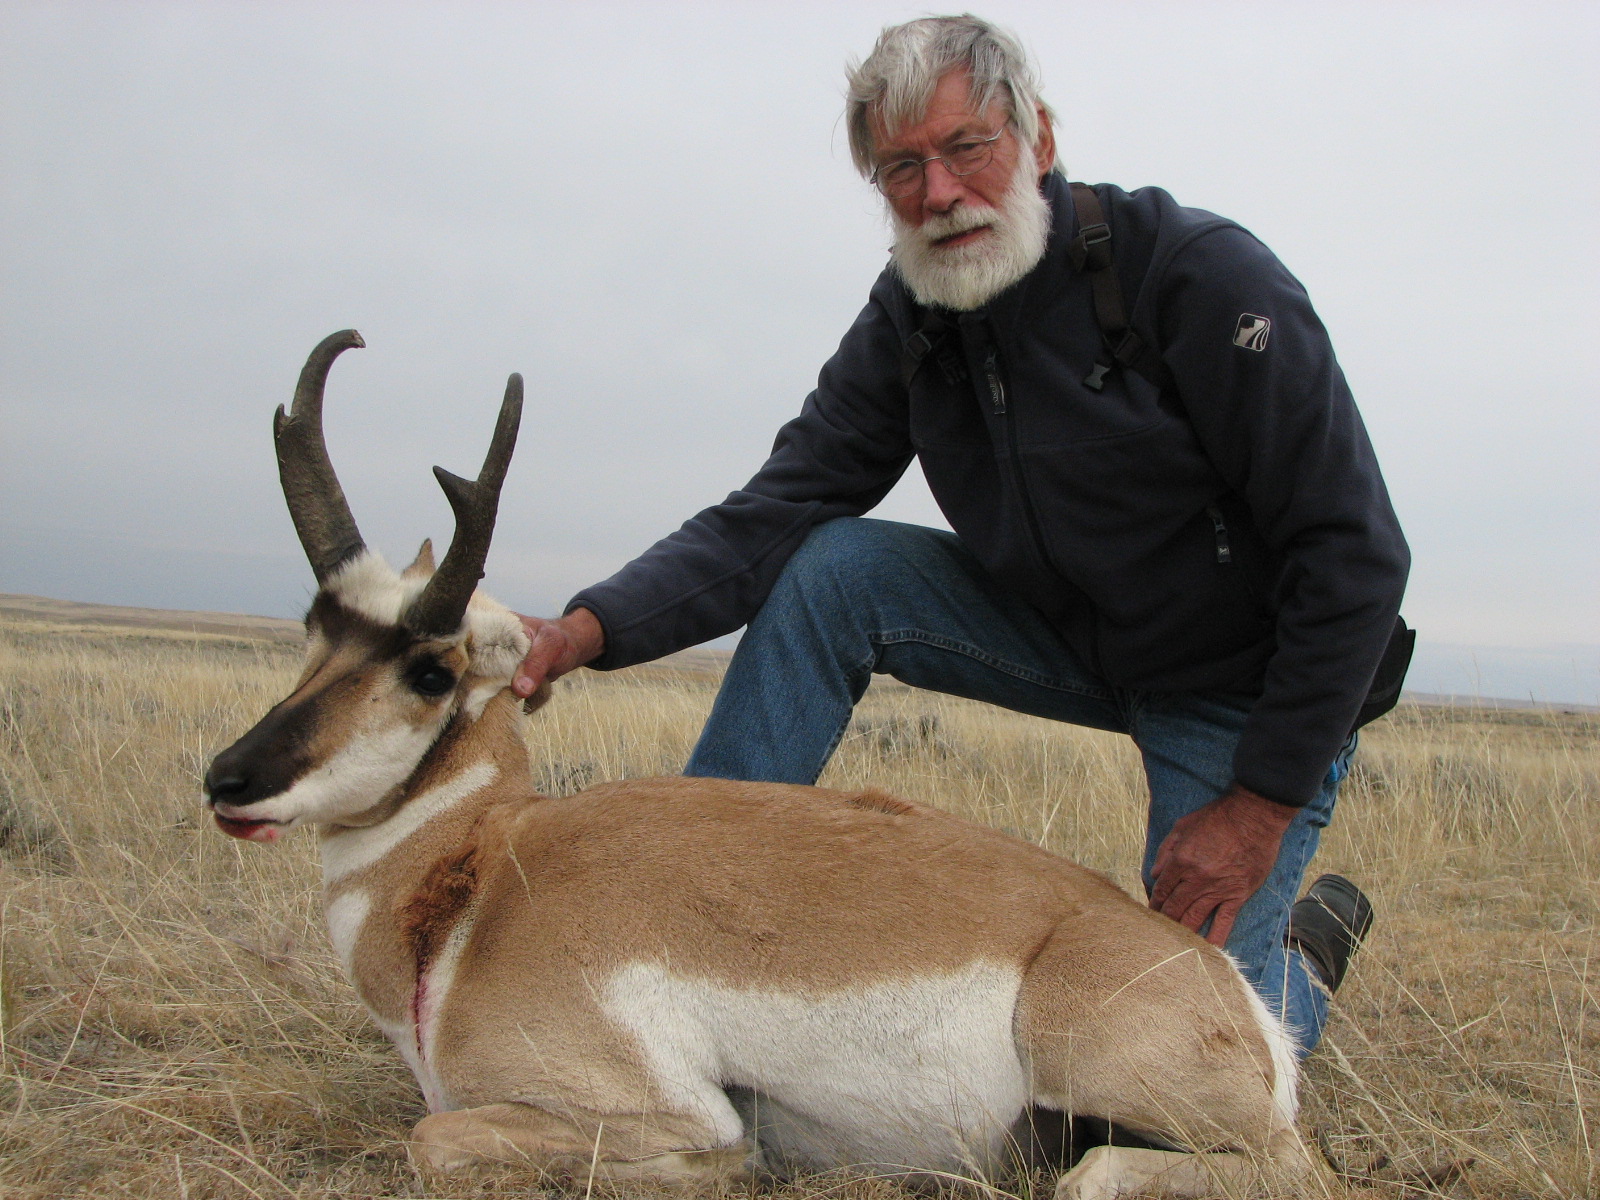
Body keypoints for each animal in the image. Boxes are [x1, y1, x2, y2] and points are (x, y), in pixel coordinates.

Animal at [209, 331, 1324, 1200]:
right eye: (315, 626)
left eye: (431, 669)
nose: (228, 780)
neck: (483, 879)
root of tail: (1232, 989)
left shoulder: (652, 1106)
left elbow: (438, 1136)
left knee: (1197, 1170)